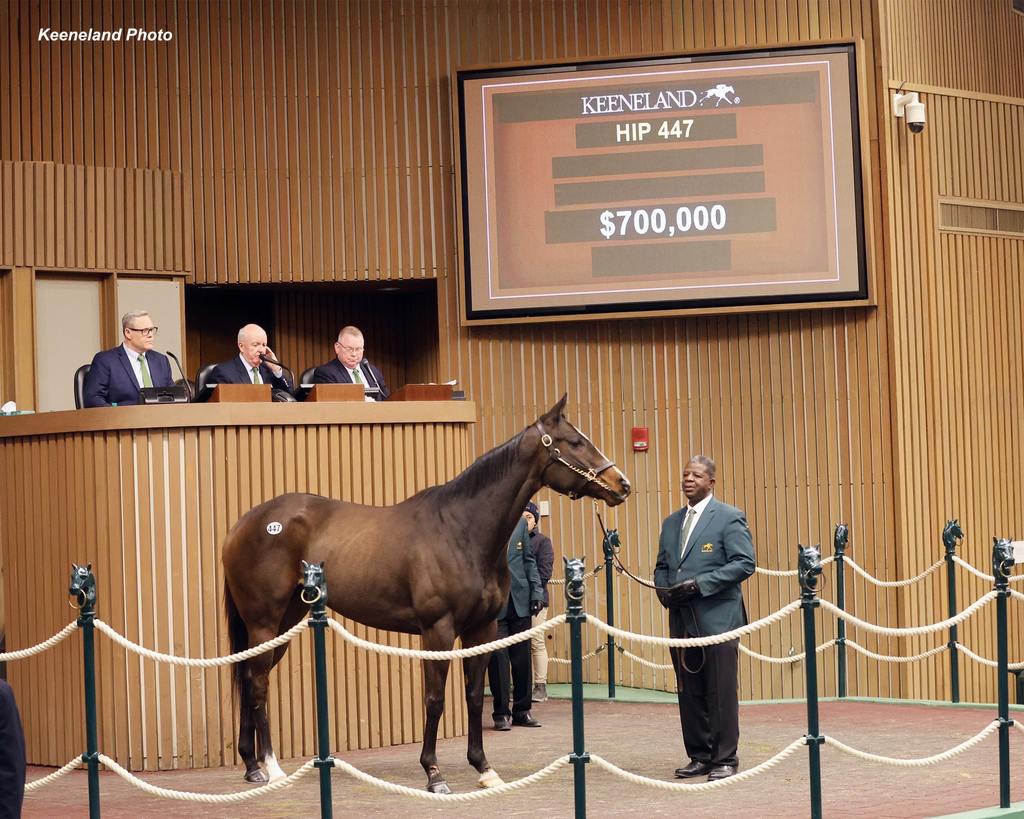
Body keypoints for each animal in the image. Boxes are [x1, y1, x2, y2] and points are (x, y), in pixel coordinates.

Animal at [220, 393, 626, 790]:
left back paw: (252, 766)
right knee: (258, 684)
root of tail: (244, 523)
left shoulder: (481, 629)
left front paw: (483, 767)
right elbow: (435, 698)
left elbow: (473, 695)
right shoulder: (438, 630)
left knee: (249, 677)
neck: (461, 529)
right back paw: (273, 768)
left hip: (285, 621)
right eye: (575, 442)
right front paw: (434, 773)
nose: (621, 483)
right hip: (265, 621)